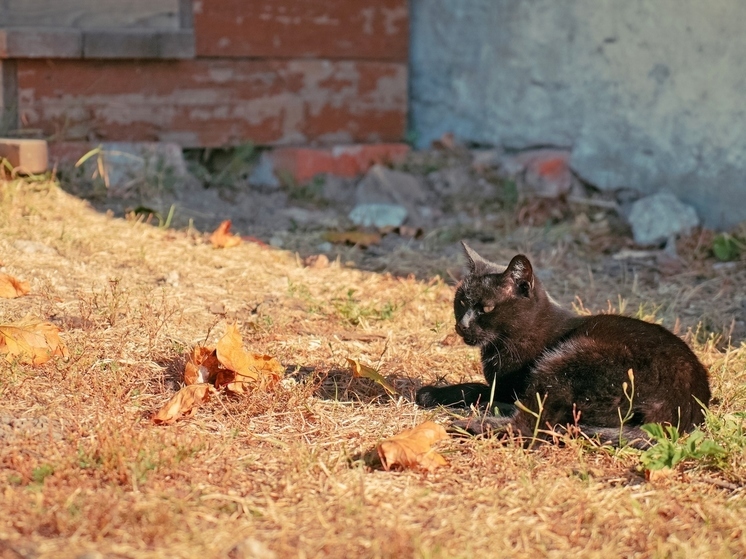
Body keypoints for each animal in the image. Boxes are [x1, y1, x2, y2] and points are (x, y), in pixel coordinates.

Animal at [412, 243, 708, 448]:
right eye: (461, 301)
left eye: (486, 308)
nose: (461, 325)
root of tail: (678, 402)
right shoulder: (504, 388)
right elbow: (474, 387)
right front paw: (430, 394)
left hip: (566, 360)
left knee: (532, 428)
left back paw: (469, 425)